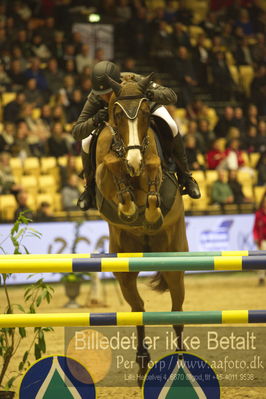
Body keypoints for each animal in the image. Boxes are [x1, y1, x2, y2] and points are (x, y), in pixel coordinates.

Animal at [94, 74, 188, 384]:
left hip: (174, 266)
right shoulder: (103, 174)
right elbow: (110, 165)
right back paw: (142, 362)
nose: (133, 162)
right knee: (138, 310)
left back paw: (181, 362)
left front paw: (149, 212)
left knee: (177, 312)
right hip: (124, 271)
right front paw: (128, 208)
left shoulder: (157, 173)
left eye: (147, 113)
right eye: (117, 115)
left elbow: (154, 169)